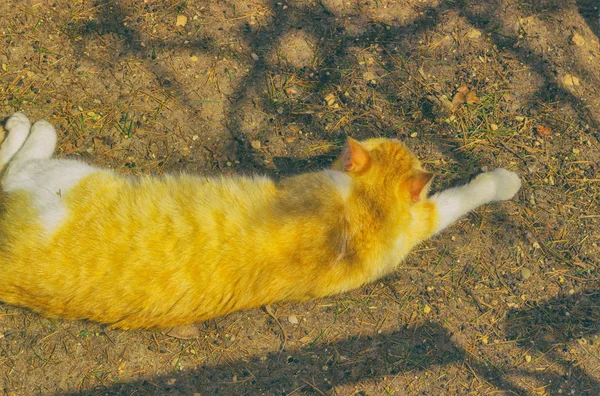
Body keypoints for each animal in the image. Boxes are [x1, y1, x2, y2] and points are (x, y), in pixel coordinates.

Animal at [0, 113, 516, 330]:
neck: (367, 211)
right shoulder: (411, 227)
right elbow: (456, 200)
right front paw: (504, 182)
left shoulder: (409, 224)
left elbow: (461, 197)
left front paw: (501, 182)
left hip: (60, 179)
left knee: (16, 162)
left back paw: (27, 125)